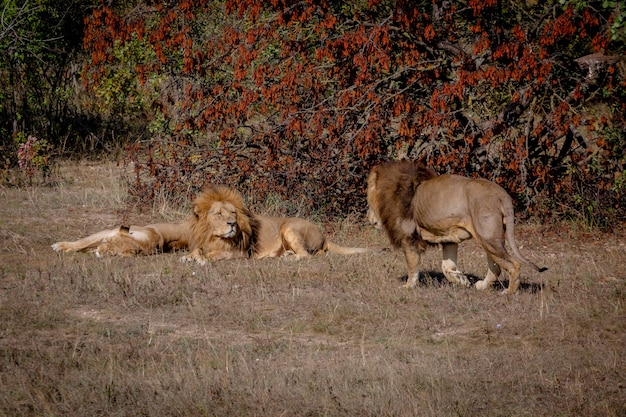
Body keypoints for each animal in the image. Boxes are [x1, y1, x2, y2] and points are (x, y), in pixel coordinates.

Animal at [364, 159, 544, 292]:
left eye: (369, 202)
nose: (369, 218)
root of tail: (501, 193)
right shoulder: (449, 239)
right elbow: (446, 266)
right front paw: (462, 280)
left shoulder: (409, 237)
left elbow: (412, 266)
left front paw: (408, 286)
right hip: (491, 238)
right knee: (496, 268)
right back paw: (481, 286)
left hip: (488, 237)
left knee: (513, 265)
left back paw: (508, 292)